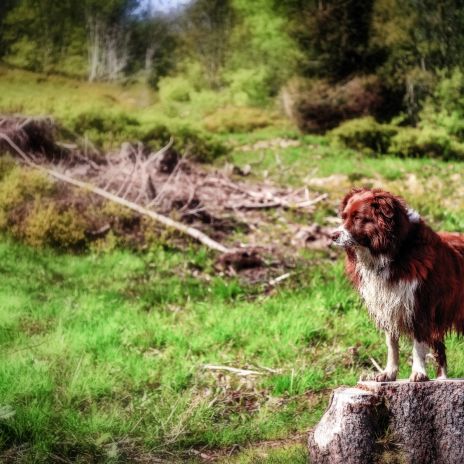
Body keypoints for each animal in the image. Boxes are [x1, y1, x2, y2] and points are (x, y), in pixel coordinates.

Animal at [332, 187, 464, 382]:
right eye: (344, 216)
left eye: (358, 218)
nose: (332, 235)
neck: (392, 251)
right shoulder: (388, 305)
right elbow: (392, 344)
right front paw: (388, 373)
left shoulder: (419, 306)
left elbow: (418, 344)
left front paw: (418, 373)